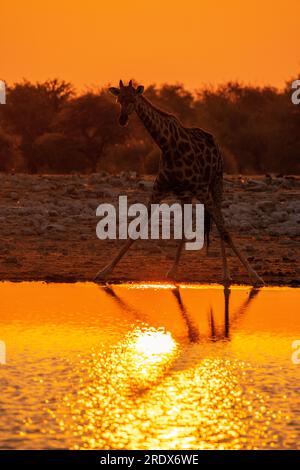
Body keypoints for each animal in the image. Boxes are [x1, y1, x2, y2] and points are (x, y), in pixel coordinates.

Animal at [95, 80, 264, 286]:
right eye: (119, 99)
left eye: (133, 99)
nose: (122, 119)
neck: (168, 146)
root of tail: (214, 141)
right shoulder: (159, 189)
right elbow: (136, 228)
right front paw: (104, 271)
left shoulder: (201, 189)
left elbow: (224, 230)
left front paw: (254, 275)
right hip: (185, 194)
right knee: (188, 227)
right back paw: (173, 271)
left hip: (215, 183)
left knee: (220, 223)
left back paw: (226, 274)